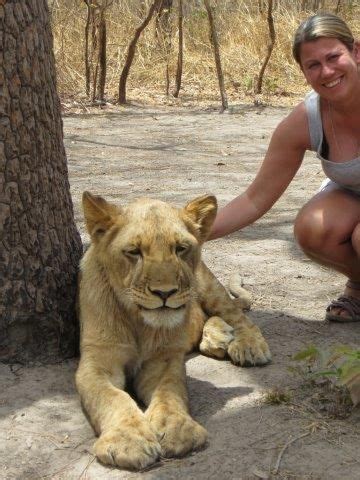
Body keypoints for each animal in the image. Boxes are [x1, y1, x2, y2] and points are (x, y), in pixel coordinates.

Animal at [75, 190, 270, 468]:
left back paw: (248, 346)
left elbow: (170, 391)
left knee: (236, 315)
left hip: (206, 285)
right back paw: (218, 339)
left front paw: (176, 429)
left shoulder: (164, 359)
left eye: (180, 249)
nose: (165, 293)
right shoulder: (97, 361)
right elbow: (111, 397)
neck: (138, 321)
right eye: (134, 252)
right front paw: (128, 441)